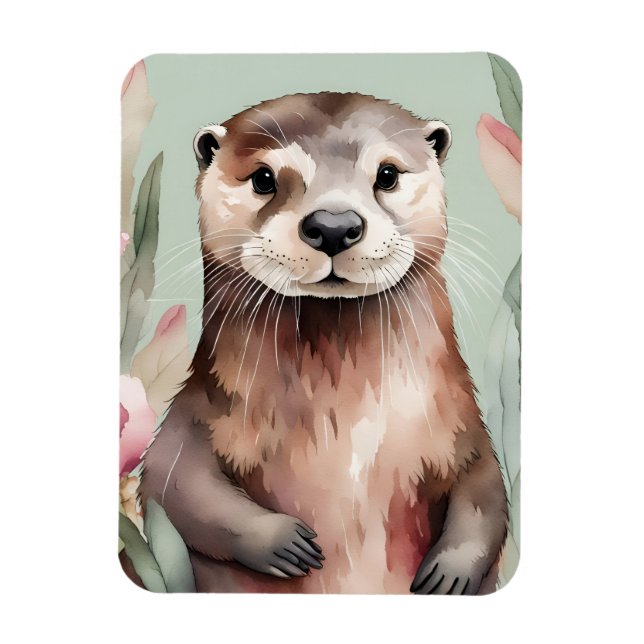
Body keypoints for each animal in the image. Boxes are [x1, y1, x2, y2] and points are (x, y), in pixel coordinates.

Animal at [140, 92, 508, 595]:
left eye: (387, 174)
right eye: (264, 178)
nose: (334, 224)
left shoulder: (460, 426)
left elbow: (485, 488)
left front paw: (449, 575)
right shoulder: (200, 413)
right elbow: (172, 480)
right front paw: (283, 542)